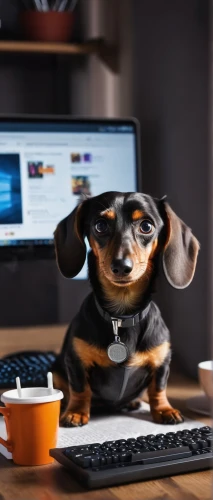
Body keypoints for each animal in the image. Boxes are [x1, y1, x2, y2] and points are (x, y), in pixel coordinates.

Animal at [52, 193, 199, 428]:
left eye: (146, 226)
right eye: (100, 225)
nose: (122, 266)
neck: (121, 315)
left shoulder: (162, 362)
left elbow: (158, 388)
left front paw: (164, 410)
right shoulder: (74, 361)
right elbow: (80, 388)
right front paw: (75, 412)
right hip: (56, 369)